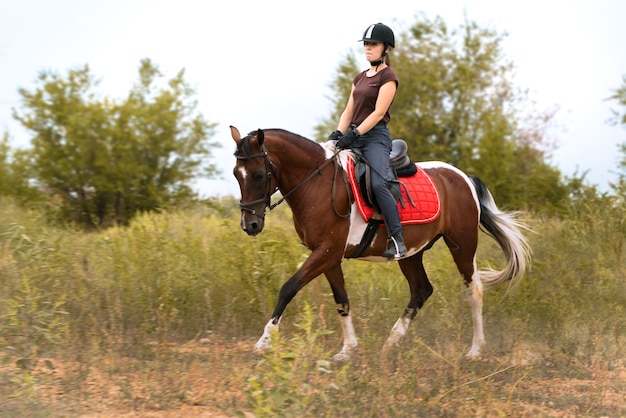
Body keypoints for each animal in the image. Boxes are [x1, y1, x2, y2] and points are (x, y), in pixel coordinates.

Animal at [230, 125, 532, 360]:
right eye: (236, 174)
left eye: (258, 175)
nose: (250, 225)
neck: (318, 183)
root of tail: (462, 177)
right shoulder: (329, 256)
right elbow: (342, 300)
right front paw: (348, 349)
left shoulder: (326, 252)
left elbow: (288, 288)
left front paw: (264, 341)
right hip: (410, 253)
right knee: (421, 290)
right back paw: (391, 343)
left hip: (462, 245)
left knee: (474, 290)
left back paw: (475, 350)